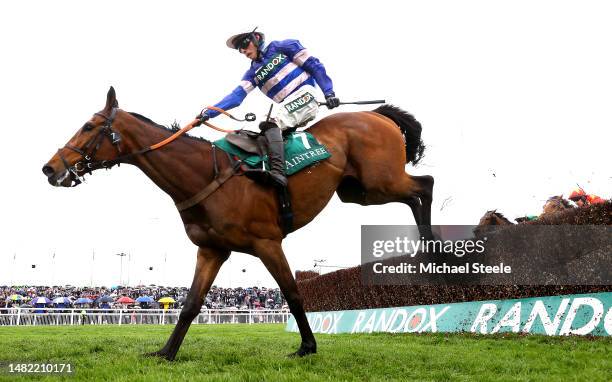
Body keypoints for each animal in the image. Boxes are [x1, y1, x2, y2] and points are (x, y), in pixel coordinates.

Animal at [40, 87, 432, 362]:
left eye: (88, 126)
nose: (49, 167)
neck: (204, 175)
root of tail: (376, 115)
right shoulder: (211, 249)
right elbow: (191, 304)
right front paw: (166, 353)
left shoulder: (267, 242)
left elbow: (292, 292)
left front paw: (307, 346)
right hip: (358, 192)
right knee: (414, 195)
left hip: (380, 181)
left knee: (424, 185)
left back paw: (432, 247)